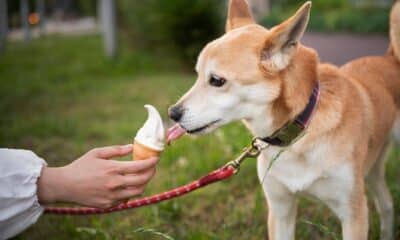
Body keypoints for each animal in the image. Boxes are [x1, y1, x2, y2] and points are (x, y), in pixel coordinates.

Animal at [166, 0, 400, 239]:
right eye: (197, 75)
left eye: (216, 80)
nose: (172, 113)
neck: (300, 129)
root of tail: (390, 58)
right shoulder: (280, 210)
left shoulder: (353, 212)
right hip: (371, 170)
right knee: (386, 204)